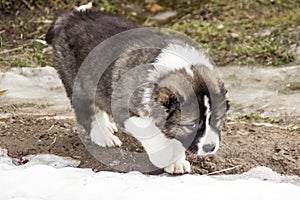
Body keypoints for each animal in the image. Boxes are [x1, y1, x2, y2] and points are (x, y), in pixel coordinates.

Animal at [45, 10, 229, 174]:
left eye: (217, 119)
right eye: (192, 125)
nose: (210, 147)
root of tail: (69, 17)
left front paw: (176, 162)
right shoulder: (126, 112)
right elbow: (153, 134)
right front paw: (165, 158)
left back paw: (107, 126)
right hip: (78, 82)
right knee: (86, 112)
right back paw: (103, 136)